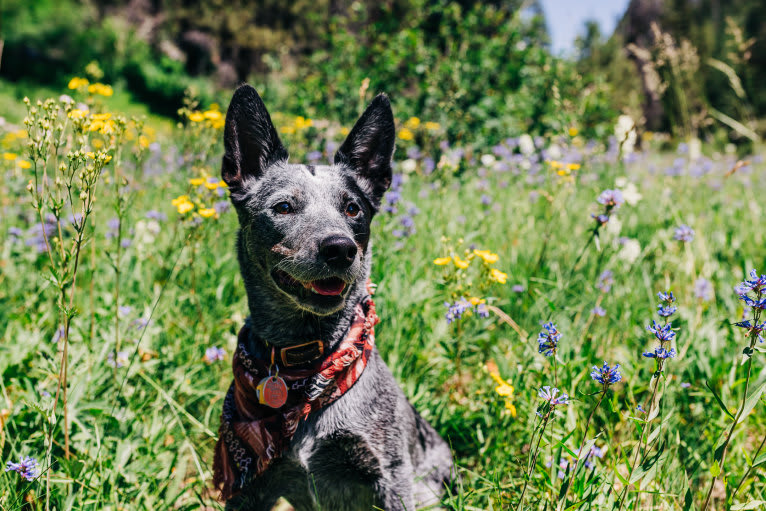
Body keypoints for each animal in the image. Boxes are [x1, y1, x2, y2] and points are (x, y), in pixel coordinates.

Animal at [214, 86, 456, 510]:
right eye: (283, 207)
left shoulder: (391, 477)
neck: (309, 365)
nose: (340, 248)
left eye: (352, 208)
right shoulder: (250, 490)